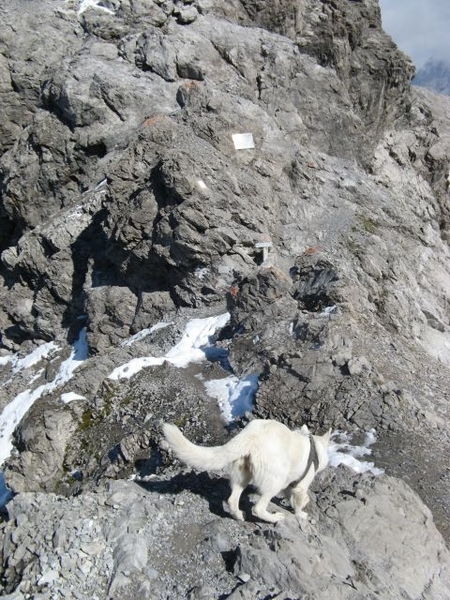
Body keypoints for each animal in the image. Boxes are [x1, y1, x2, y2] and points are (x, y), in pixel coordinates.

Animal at [163, 420, 330, 524]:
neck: (314, 446)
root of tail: (251, 436)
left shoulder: (290, 486)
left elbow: (291, 497)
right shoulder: (300, 486)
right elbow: (299, 502)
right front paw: (301, 513)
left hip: (242, 474)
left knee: (232, 499)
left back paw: (238, 515)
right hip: (275, 480)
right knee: (258, 508)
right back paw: (274, 518)